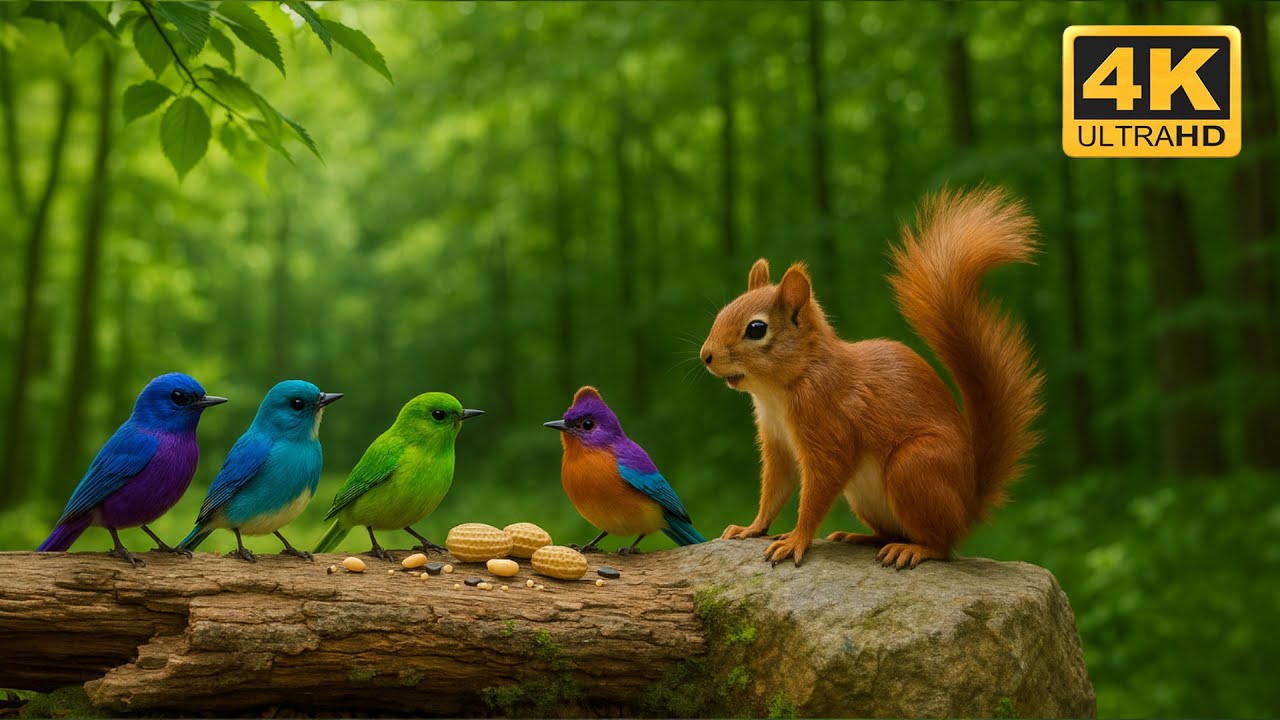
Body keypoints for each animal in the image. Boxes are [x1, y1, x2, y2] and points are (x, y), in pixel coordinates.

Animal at [699, 187, 1043, 568]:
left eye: (756, 329)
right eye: (723, 311)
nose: (705, 355)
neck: (782, 388)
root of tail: (967, 505)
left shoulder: (830, 427)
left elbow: (818, 489)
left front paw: (795, 539)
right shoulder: (776, 441)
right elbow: (776, 487)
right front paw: (752, 527)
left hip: (915, 467)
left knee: (942, 544)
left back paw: (913, 549)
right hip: (866, 498)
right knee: (894, 531)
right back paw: (859, 537)